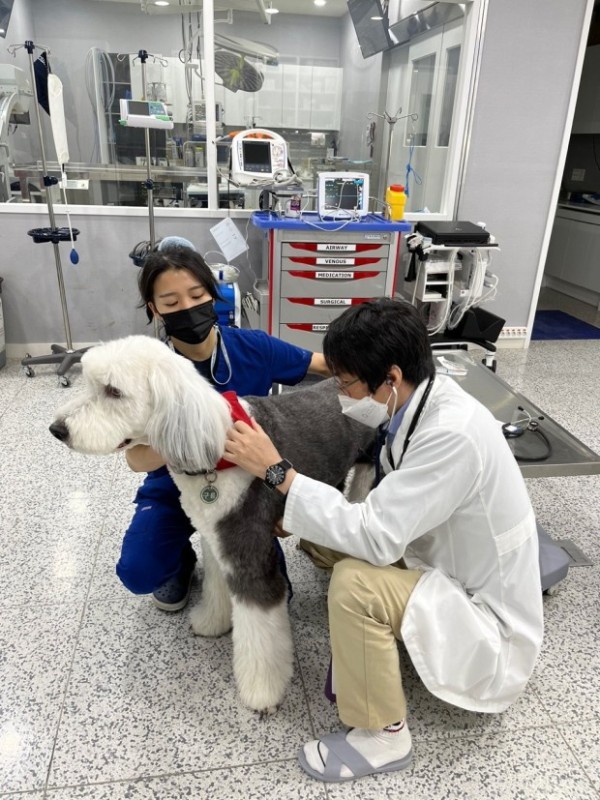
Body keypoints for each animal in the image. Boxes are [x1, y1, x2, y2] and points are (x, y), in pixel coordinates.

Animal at [49, 335, 375, 715]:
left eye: (114, 391)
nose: (57, 429)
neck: (214, 448)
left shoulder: (248, 556)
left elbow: (259, 632)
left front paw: (261, 692)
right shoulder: (215, 539)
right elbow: (217, 587)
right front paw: (211, 623)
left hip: (371, 468)